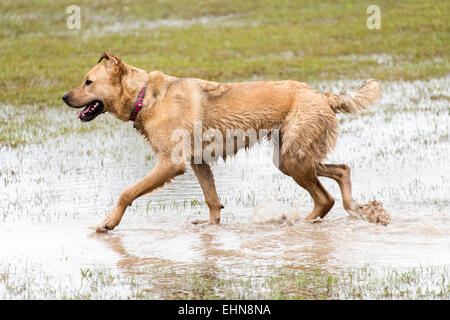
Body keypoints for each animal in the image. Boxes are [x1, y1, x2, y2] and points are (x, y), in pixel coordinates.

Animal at [63, 50, 390, 232]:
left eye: (88, 82)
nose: (64, 96)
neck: (145, 96)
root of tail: (322, 95)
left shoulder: (170, 164)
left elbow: (126, 193)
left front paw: (107, 223)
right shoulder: (198, 162)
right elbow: (212, 200)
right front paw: (211, 229)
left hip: (294, 159)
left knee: (325, 198)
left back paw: (298, 224)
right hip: (289, 158)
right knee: (341, 171)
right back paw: (357, 209)